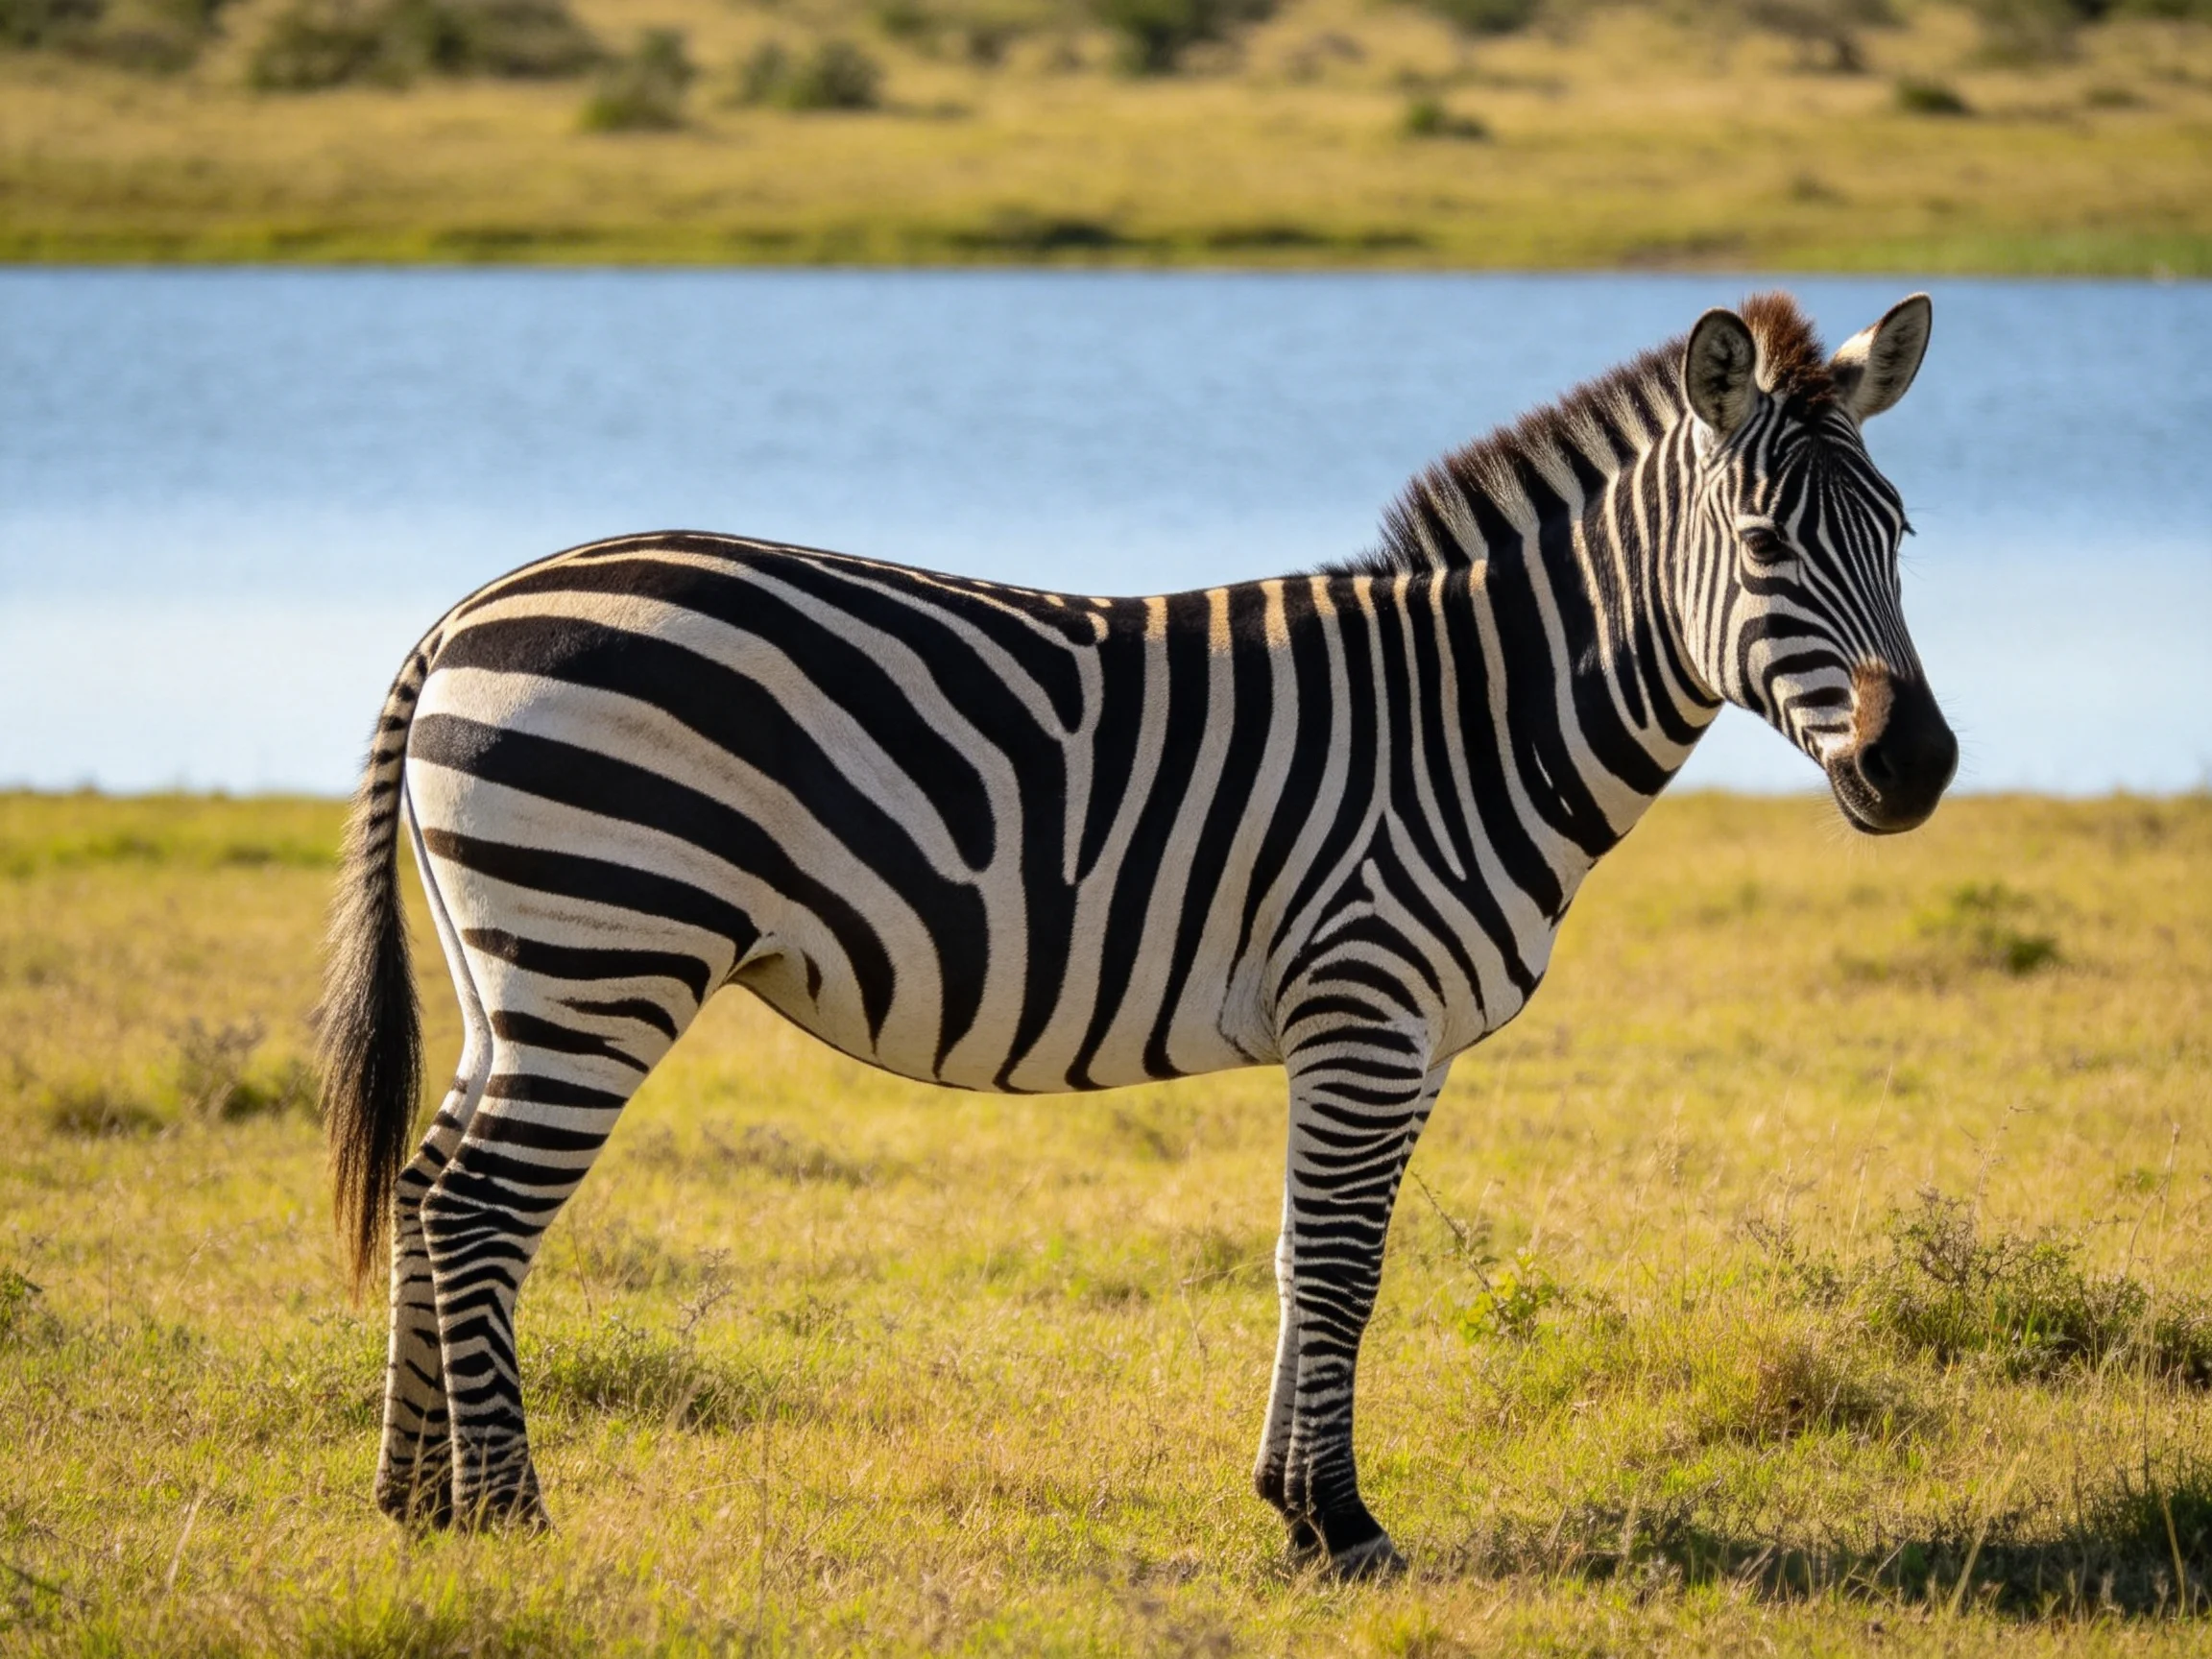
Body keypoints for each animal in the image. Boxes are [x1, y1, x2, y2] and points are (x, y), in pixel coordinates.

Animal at [320, 290, 1955, 1577]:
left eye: (1900, 534)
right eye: (1765, 545)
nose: (1919, 767)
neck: (1477, 720)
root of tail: (468, 609)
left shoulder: (1401, 1038)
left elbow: (1305, 1258)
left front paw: (1291, 1507)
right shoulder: (1365, 1007)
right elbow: (1345, 1264)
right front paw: (1342, 1525)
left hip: (517, 969)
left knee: (423, 1183)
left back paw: (413, 1502)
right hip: (608, 949)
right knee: (480, 1209)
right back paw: (512, 1518)